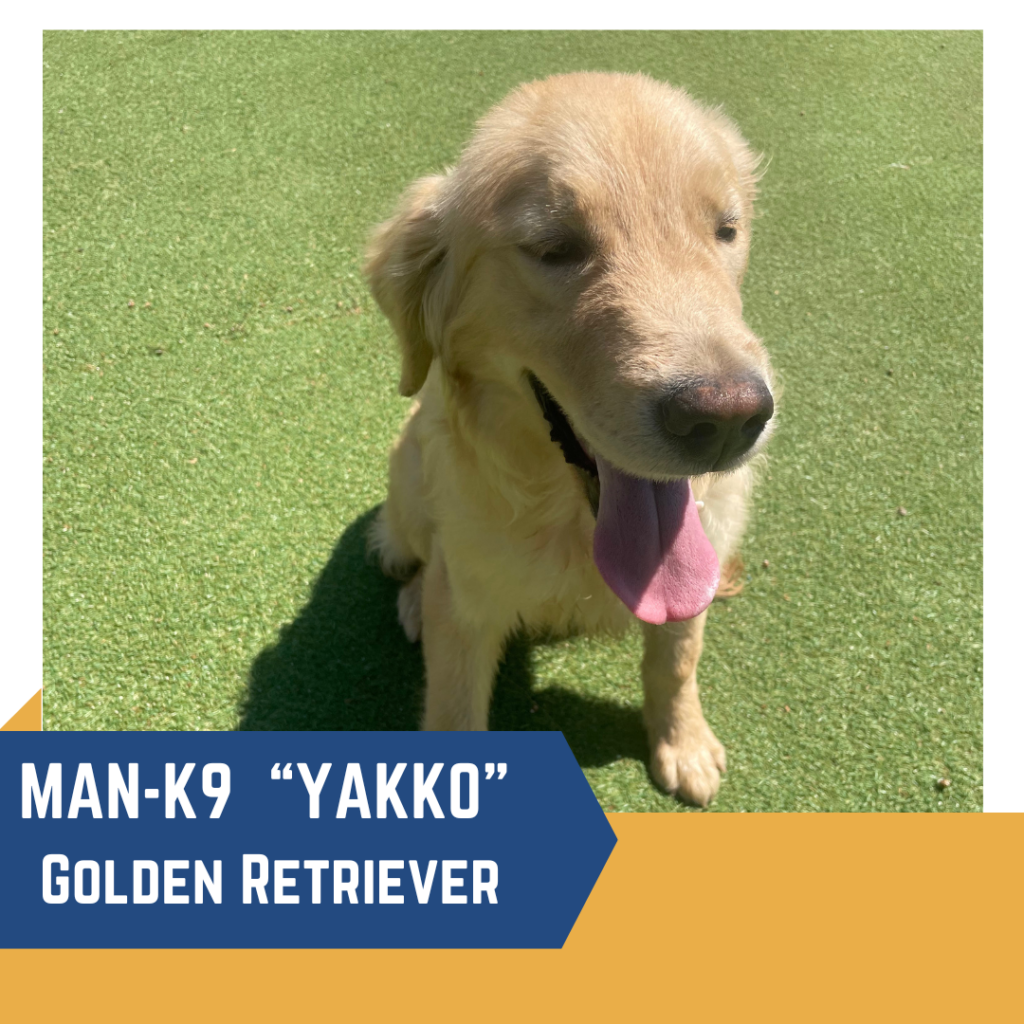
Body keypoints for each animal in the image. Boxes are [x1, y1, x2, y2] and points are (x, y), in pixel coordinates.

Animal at [364, 74, 770, 806]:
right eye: (555, 247)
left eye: (726, 231)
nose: (727, 420)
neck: (575, 527)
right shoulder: (467, 605)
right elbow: (454, 706)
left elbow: (676, 659)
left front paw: (684, 744)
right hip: (406, 484)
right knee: (411, 555)